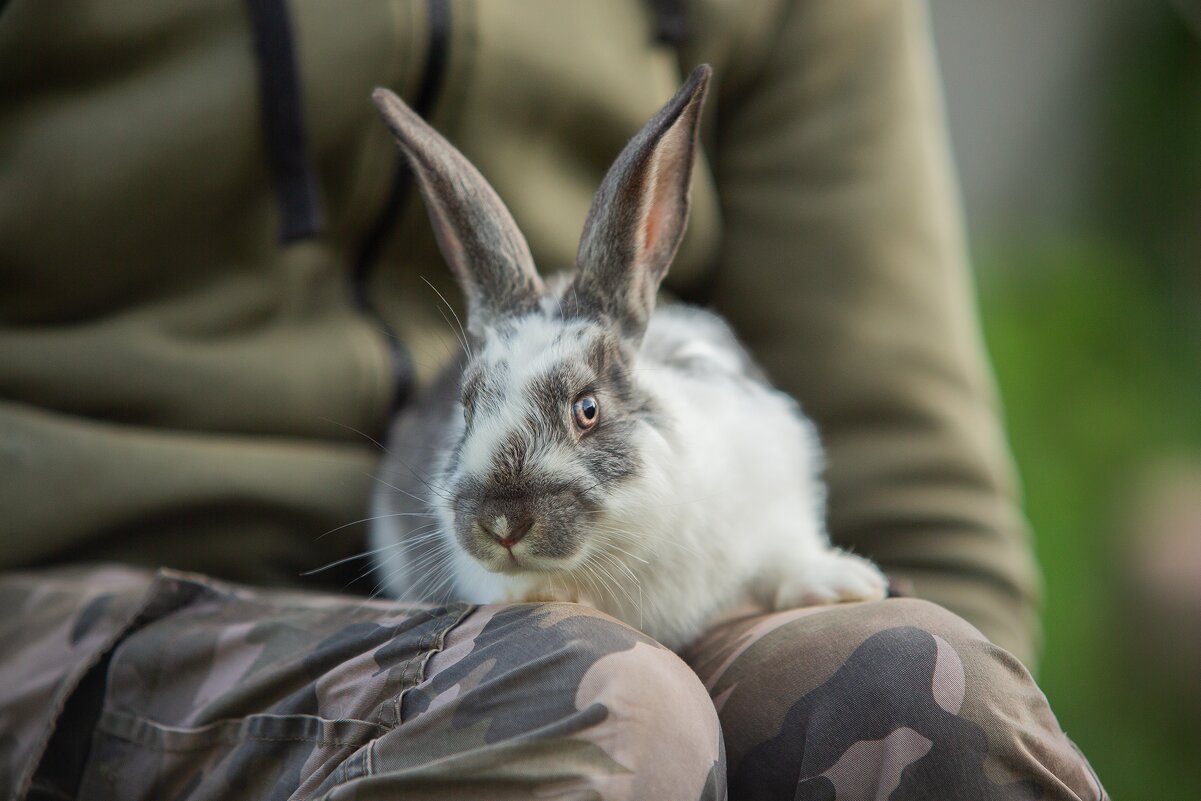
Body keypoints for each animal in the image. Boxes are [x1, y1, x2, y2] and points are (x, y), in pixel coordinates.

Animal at [369, 64, 888, 653]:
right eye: (467, 408)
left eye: (587, 409)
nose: (502, 525)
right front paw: (540, 593)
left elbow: (785, 551)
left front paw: (844, 583)